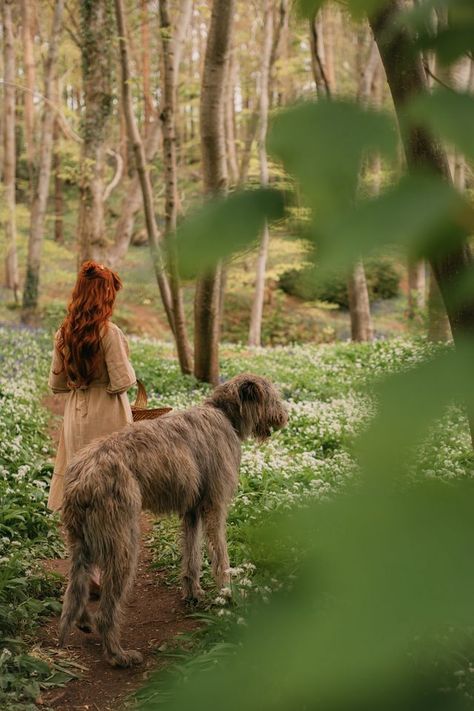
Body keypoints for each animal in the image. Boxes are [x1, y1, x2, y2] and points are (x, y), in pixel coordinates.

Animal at [57, 376, 286, 672]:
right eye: (272, 397)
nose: (285, 417)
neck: (224, 414)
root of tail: (81, 479)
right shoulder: (214, 508)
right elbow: (220, 556)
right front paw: (228, 596)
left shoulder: (192, 511)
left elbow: (192, 555)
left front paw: (194, 593)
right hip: (123, 541)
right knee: (107, 610)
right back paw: (118, 655)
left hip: (81, 542)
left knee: (76, 586)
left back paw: (84, 619)